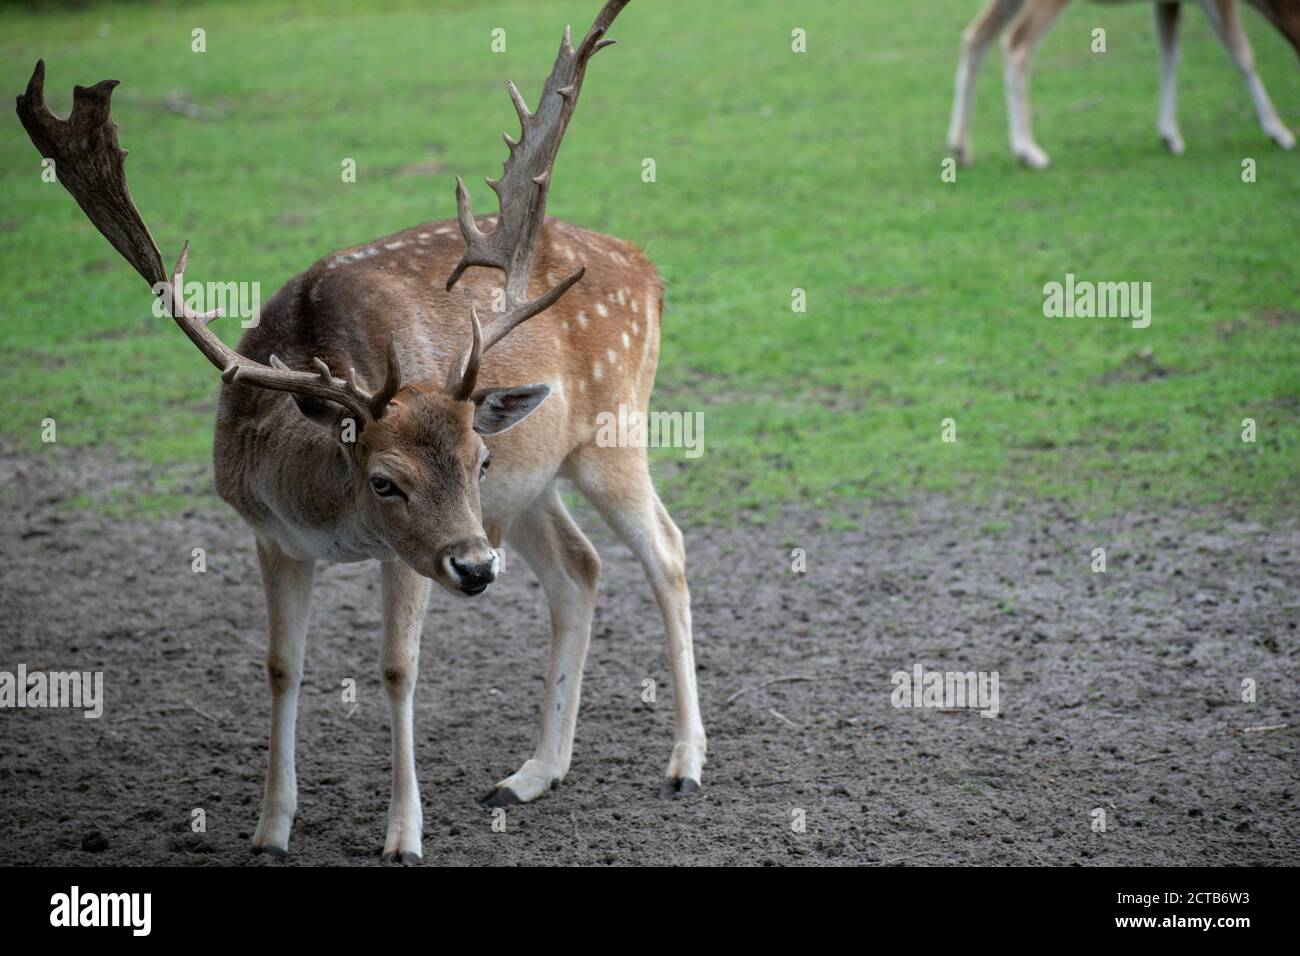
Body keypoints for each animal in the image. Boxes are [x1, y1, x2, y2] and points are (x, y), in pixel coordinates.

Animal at [16, 0, 706, 864]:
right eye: (385, 480)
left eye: (474, 459)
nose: (477, 569)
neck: (328, 514)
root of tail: (650, 268)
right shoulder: (271, 536)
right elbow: (282, 666)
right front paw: (270, 828)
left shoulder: (411, 553)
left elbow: (397, 669)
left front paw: (403, 835)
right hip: (531, 485)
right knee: (579, 568)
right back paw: (532, 773)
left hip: (611, 429)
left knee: (667, 550)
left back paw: (684, 764)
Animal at [946, 0, 1300, 168]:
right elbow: (1243, 54)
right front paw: (1280, 134)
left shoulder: (1167, 0)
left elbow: (1169, 54)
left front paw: (1170, 136)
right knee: (1016, 44)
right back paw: (1028, 150)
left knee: (974, 37)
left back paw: (960, 148)